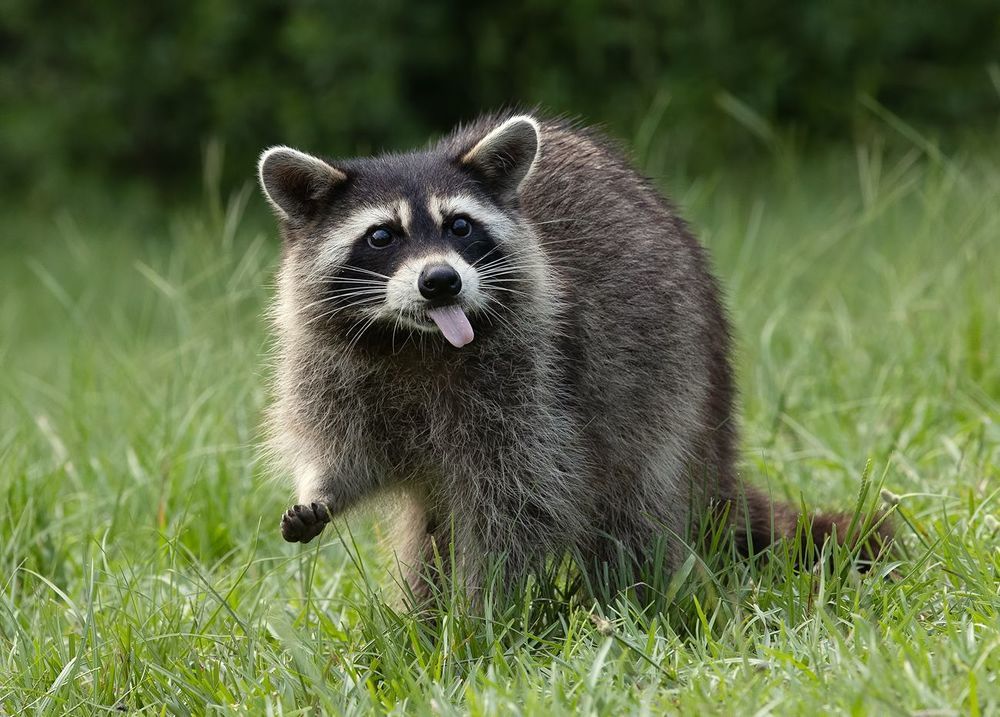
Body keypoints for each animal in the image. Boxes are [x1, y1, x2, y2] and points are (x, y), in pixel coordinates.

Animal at [258, 112, 890, 598]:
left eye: (460, 226)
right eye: (382, 236)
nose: (441, 282)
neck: (415, 342)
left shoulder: (536, 382)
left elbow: (518, 509)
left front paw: (481, 617)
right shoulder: (333, 368)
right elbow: (350, 452)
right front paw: (321, 489)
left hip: (669, 396)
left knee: (634, 513)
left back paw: (641, 600)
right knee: (427, 533)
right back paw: (421, 612)